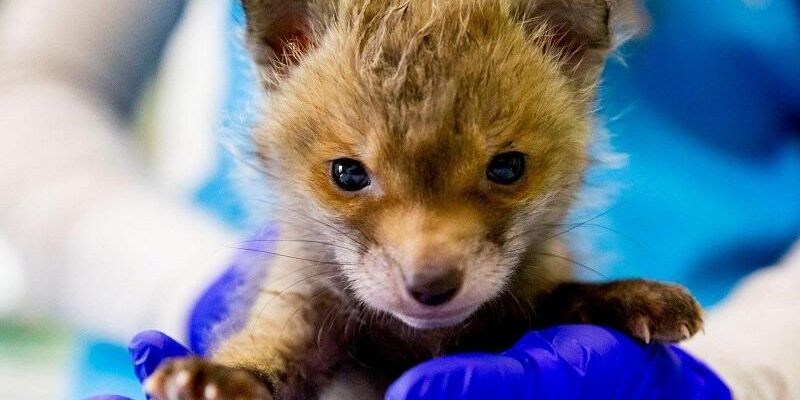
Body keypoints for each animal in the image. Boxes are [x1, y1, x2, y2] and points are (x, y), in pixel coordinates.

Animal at [148, 0, 700, 398]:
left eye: (508, 168)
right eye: (348, 173)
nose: (431, 286)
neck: (421, 345)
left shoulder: (529, 293)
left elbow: (558, 297)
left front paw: (624, 296)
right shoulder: (297, 309)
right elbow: (263, 358)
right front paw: (221, 378)